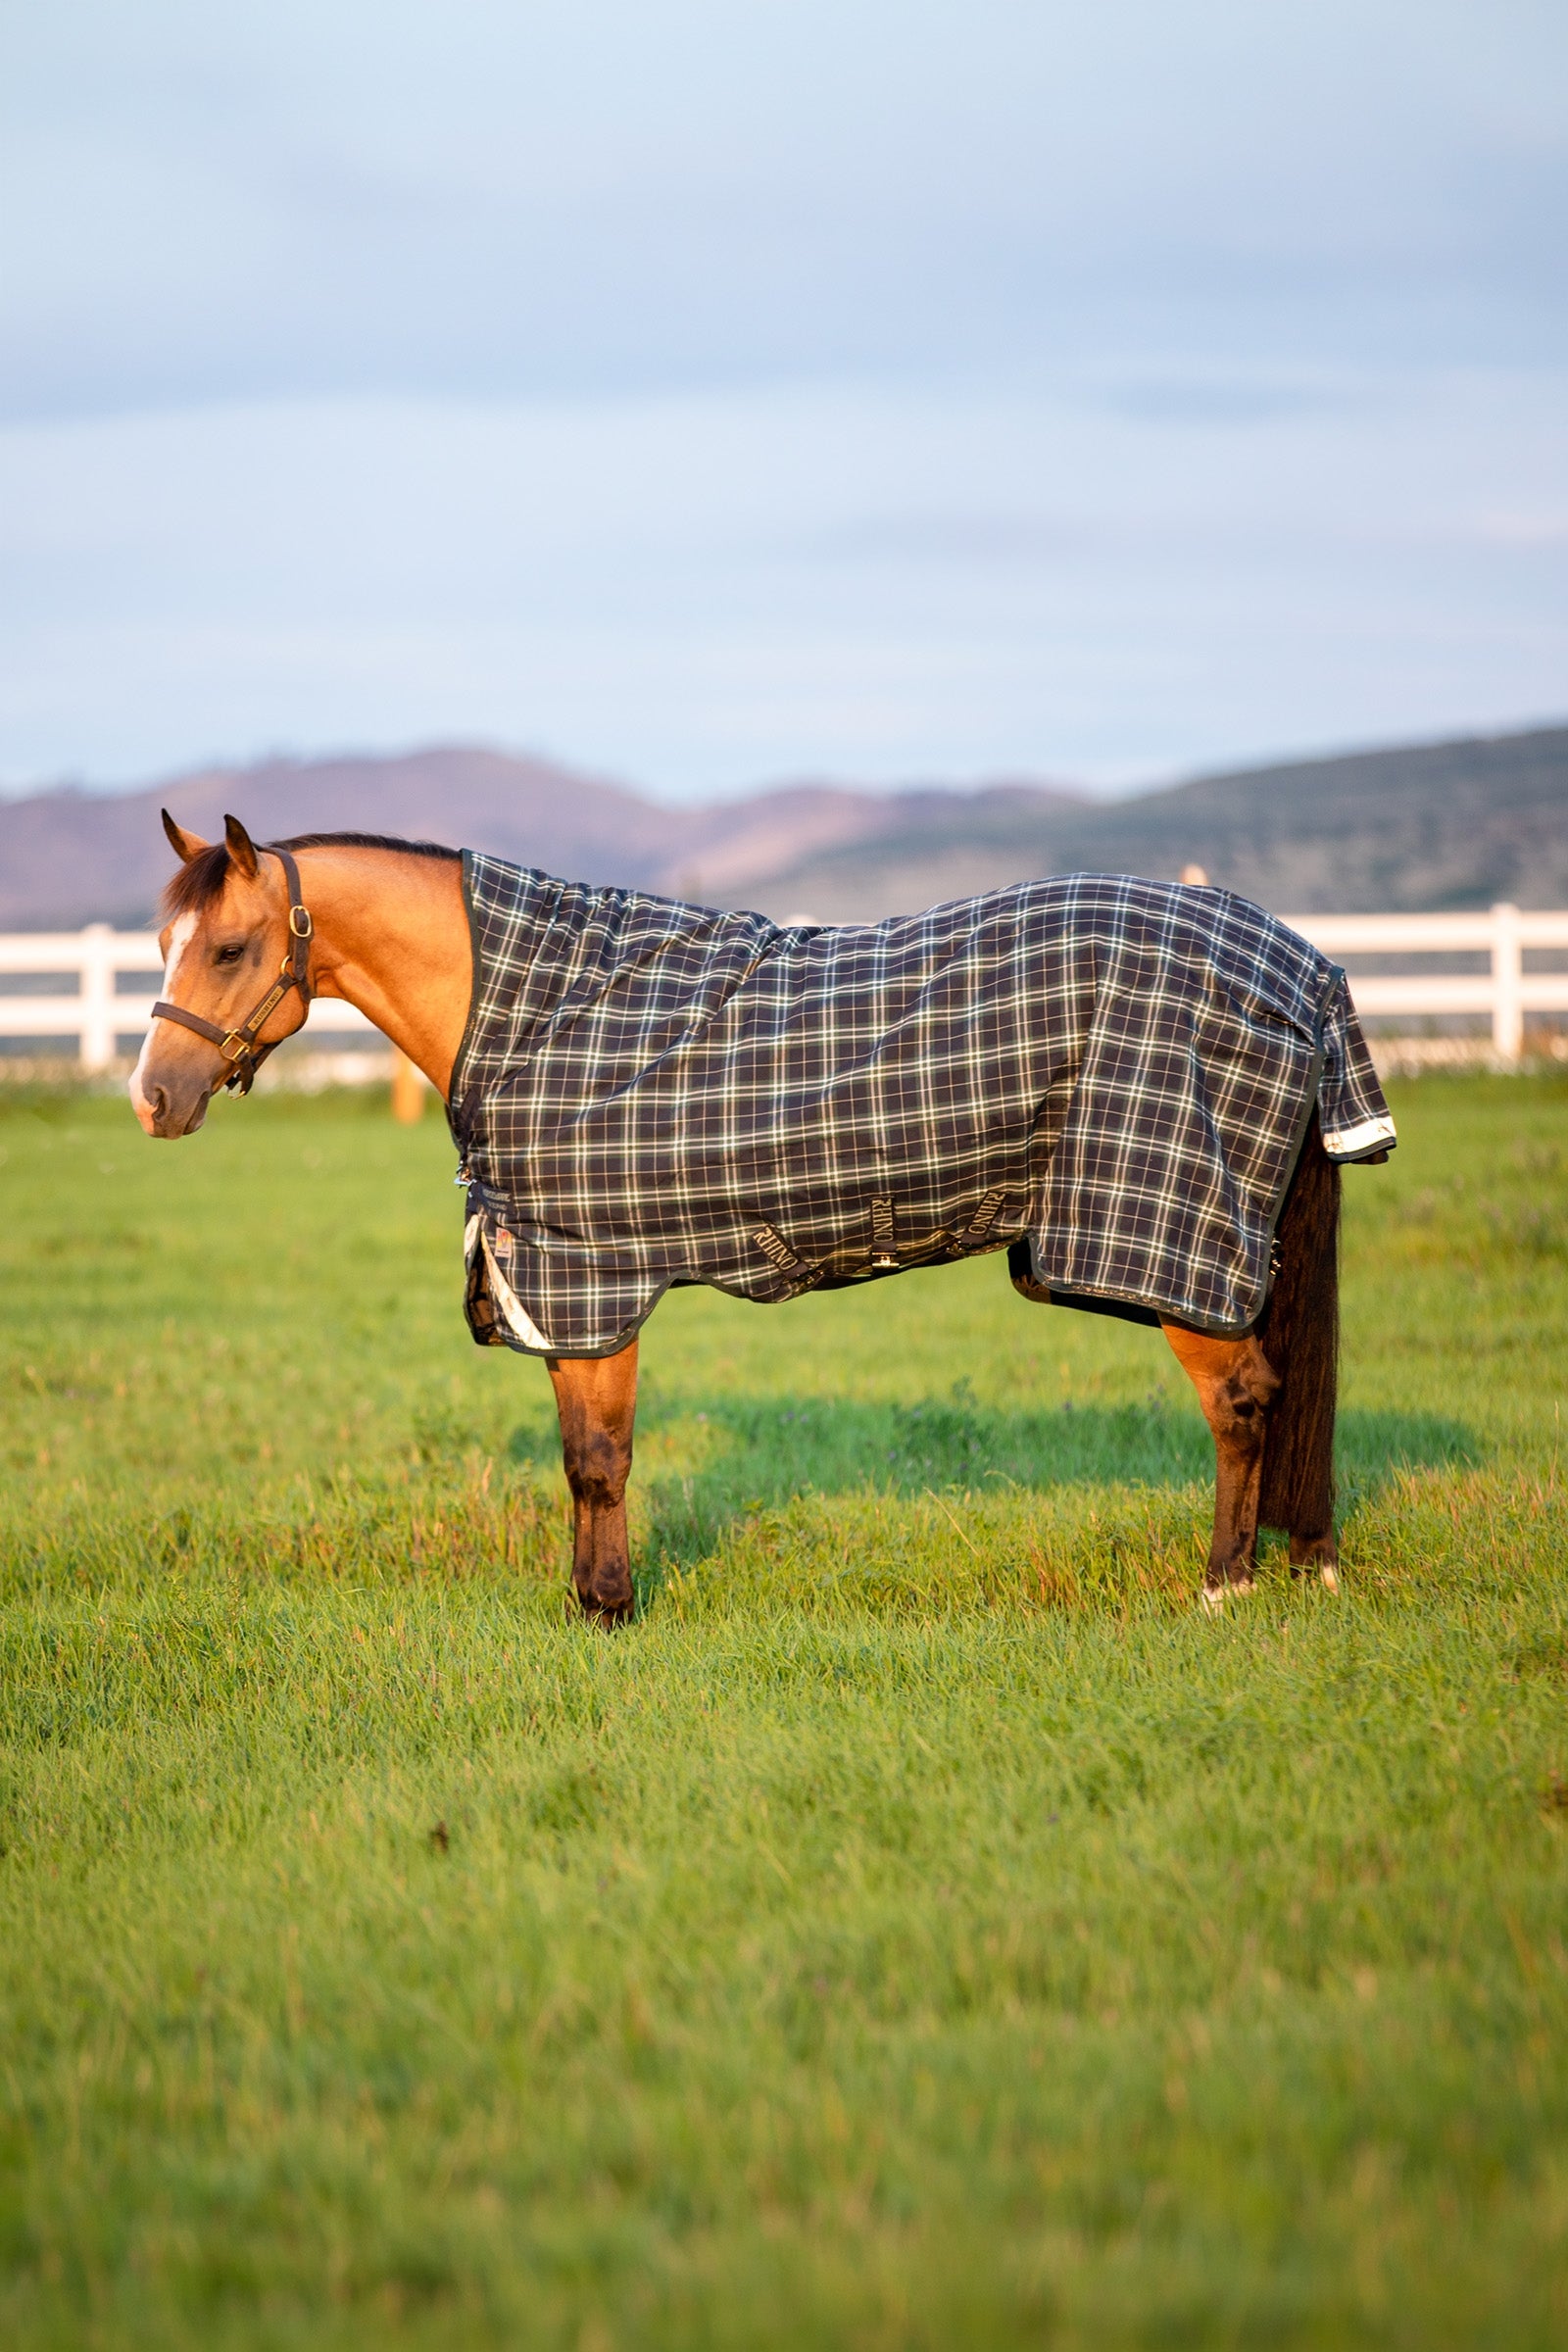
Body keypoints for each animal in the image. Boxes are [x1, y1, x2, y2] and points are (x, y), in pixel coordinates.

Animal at [131, 812, 1366, 1622]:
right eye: (160, 945)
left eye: (230, 947)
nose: (150, 1098)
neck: (540, 1013)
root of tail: (1300, 964)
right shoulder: (559, 1289)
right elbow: (580, 1456)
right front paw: (591, 1600)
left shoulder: (595, 1278)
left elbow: (600, 1460)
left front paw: (608, 1610)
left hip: (1172, 1235)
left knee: (1243, 1401)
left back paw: (1221, 1585)